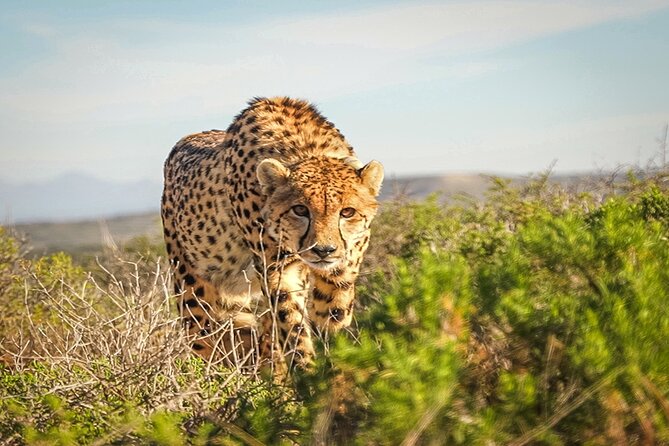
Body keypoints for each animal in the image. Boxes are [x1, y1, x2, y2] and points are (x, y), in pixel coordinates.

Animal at [161, 97, 384, 369]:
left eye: (347, 212)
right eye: (300, 209)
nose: (323, 250)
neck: (306, 148)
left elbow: (336, 298)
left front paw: (332, 329)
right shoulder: (276, 269)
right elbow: (292, 324)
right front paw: (308, 372)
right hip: (192, 291)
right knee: (207, 342)